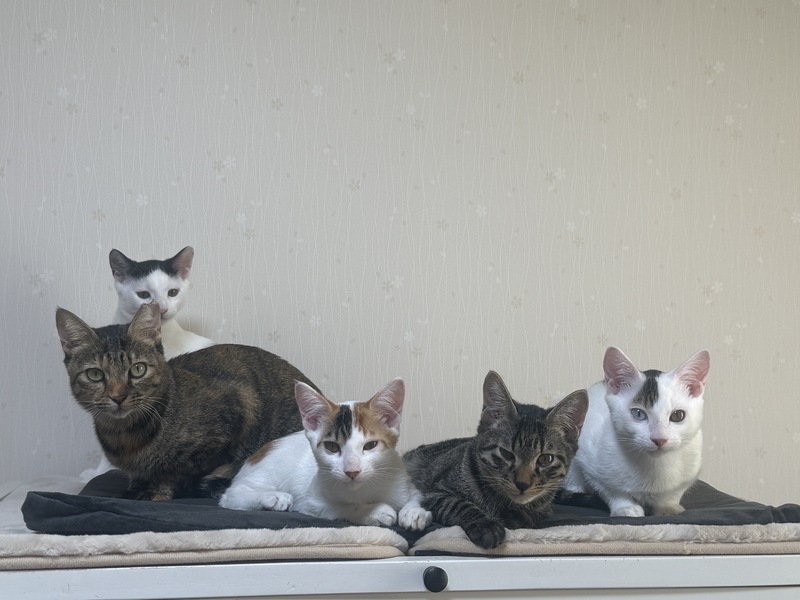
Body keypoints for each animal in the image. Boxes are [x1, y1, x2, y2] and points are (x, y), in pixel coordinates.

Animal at [56, 302, 317, 501]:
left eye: (138, 369)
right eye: (95, 374)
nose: (118, 396)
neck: (124, 436)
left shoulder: (241, 403)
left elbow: (178, 471)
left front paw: (157, 490)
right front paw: (136, 487)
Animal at [220, 379, 432, 531]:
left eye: (370, 445)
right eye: (331, 447)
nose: (352, 471)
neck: (365, 488)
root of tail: (257, 453)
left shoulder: (404, 482)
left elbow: (416, 496)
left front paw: (414, 513)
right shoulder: (309, 502)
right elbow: (338, 507)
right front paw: (376, 511)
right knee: (231, 496)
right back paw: (274, 498)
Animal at [403, 371, 588, 549]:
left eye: (545, 459)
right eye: (506, 454)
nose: (522, 484)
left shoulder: (542, 510)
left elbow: (529, 517)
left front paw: (515, 516)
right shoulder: (435, 491)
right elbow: (458, 504)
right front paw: (485, 525)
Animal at [563, 346, 710, 517]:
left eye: (677, 416)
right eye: (638, 414)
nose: (659, 439)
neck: (655, 466)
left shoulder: (690, 469)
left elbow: (674, 493)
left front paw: (668, 507)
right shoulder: (589, 453)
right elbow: (609, 489)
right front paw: (625, 507)